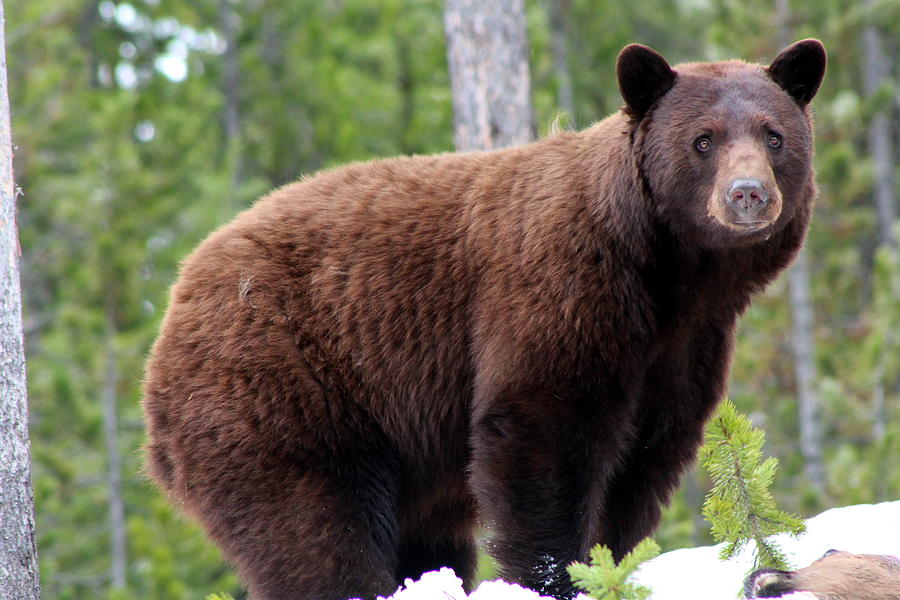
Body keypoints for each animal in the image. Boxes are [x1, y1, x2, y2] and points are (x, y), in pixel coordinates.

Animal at [144, 38, 828, 600]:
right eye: (704, 140)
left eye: (773, 135)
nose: (747, 194)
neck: (666, 273)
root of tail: (176, 298)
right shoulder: (559, 296)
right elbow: (542, 436)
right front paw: (552, 574)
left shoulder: (683, 348)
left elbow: (643, 465)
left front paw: (614, 562)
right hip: (283, 388)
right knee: (313, 529)